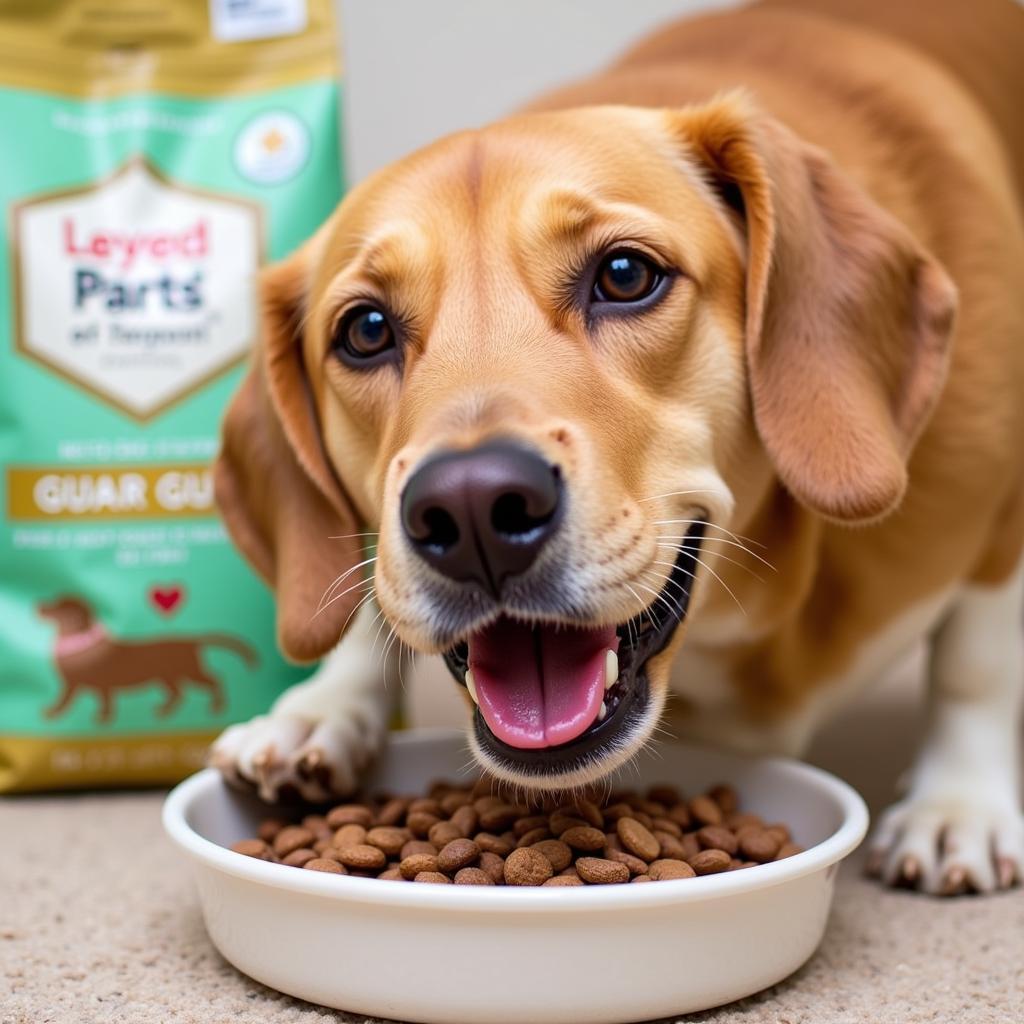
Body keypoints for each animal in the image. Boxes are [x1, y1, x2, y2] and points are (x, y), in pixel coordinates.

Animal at [209, 0, 1024, 892]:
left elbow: (975, 665)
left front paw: (959, 803)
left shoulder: (999, 518)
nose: (472, 509)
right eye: (364, 330)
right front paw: (323, 708)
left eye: (626, 274)